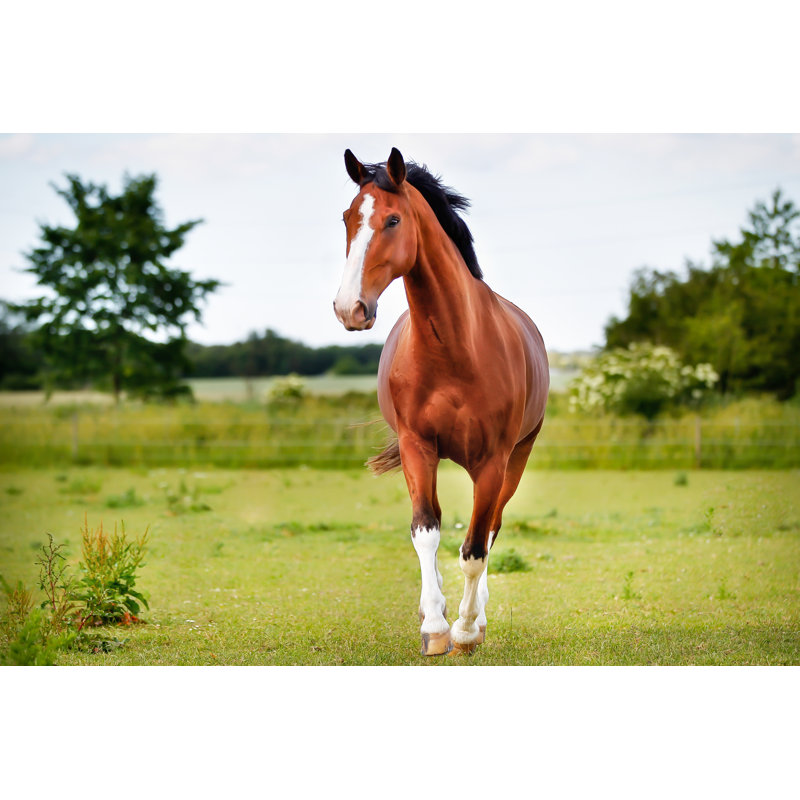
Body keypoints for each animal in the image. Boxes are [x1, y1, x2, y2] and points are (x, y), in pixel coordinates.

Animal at [333, 147, 549, 656]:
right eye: (348, 218)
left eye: (393, 220)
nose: (350, 308)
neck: (453, 349)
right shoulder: (417, 446)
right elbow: (426, 532)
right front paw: (434, 625)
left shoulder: (493, 460)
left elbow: (474, 549)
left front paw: (466, 630)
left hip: (514, 460)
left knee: (490, 530)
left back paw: (478, 617)